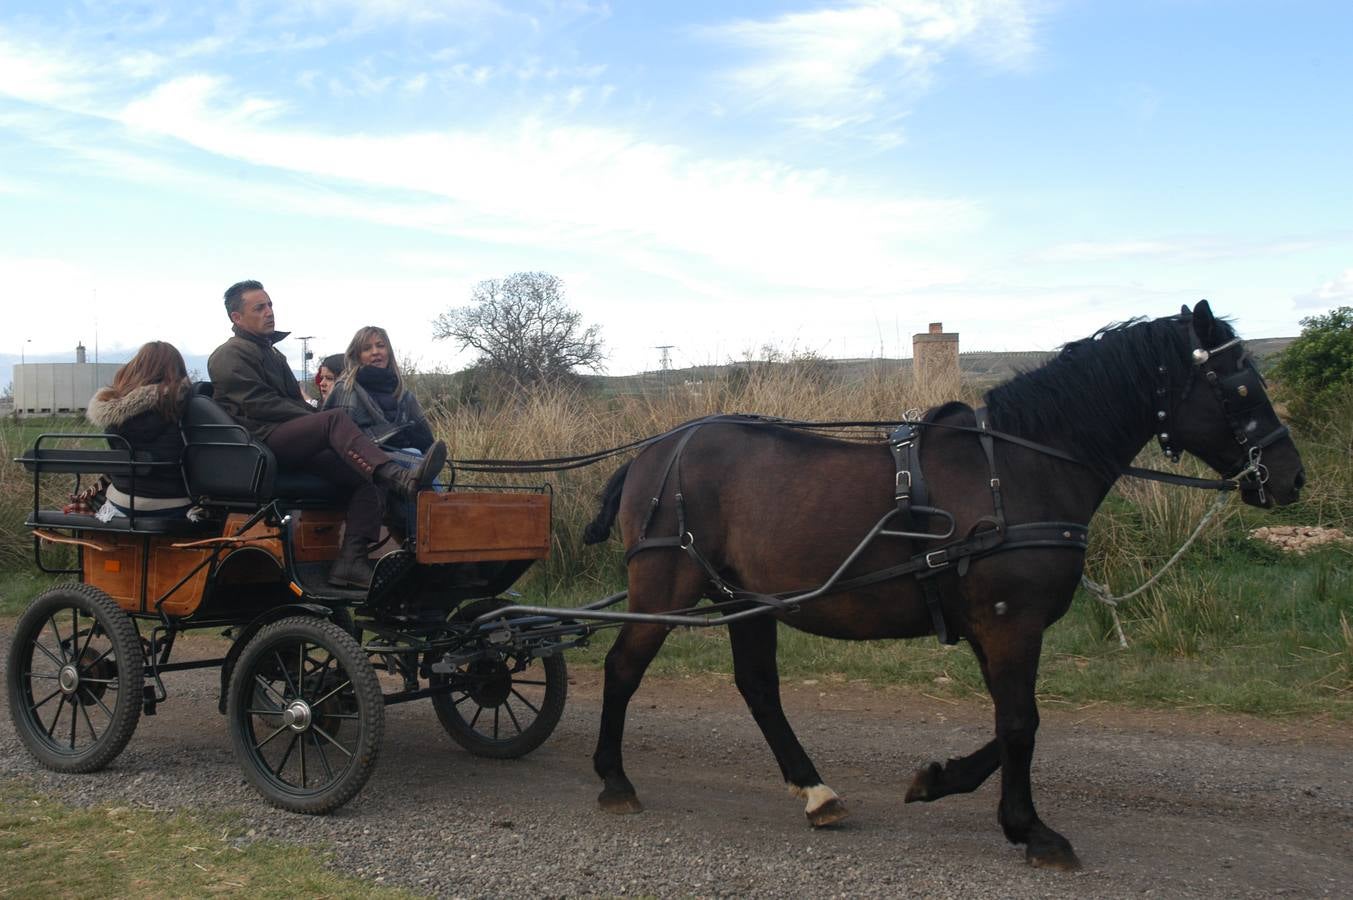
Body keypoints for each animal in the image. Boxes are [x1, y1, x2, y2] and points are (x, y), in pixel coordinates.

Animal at [579, 297, 1298, 866]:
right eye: (1238, 386)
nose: (1291, 476)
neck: (1018, 470)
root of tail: (651, 452)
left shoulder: (992, 625)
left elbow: (1010, 724)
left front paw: (937, 780)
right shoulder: (1010, 620)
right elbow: (1020, 724)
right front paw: (1031, 830)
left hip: (745, 601)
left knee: (757, 688)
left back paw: (815, 791)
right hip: (665, 588)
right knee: (622, 668)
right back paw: (614, 780)